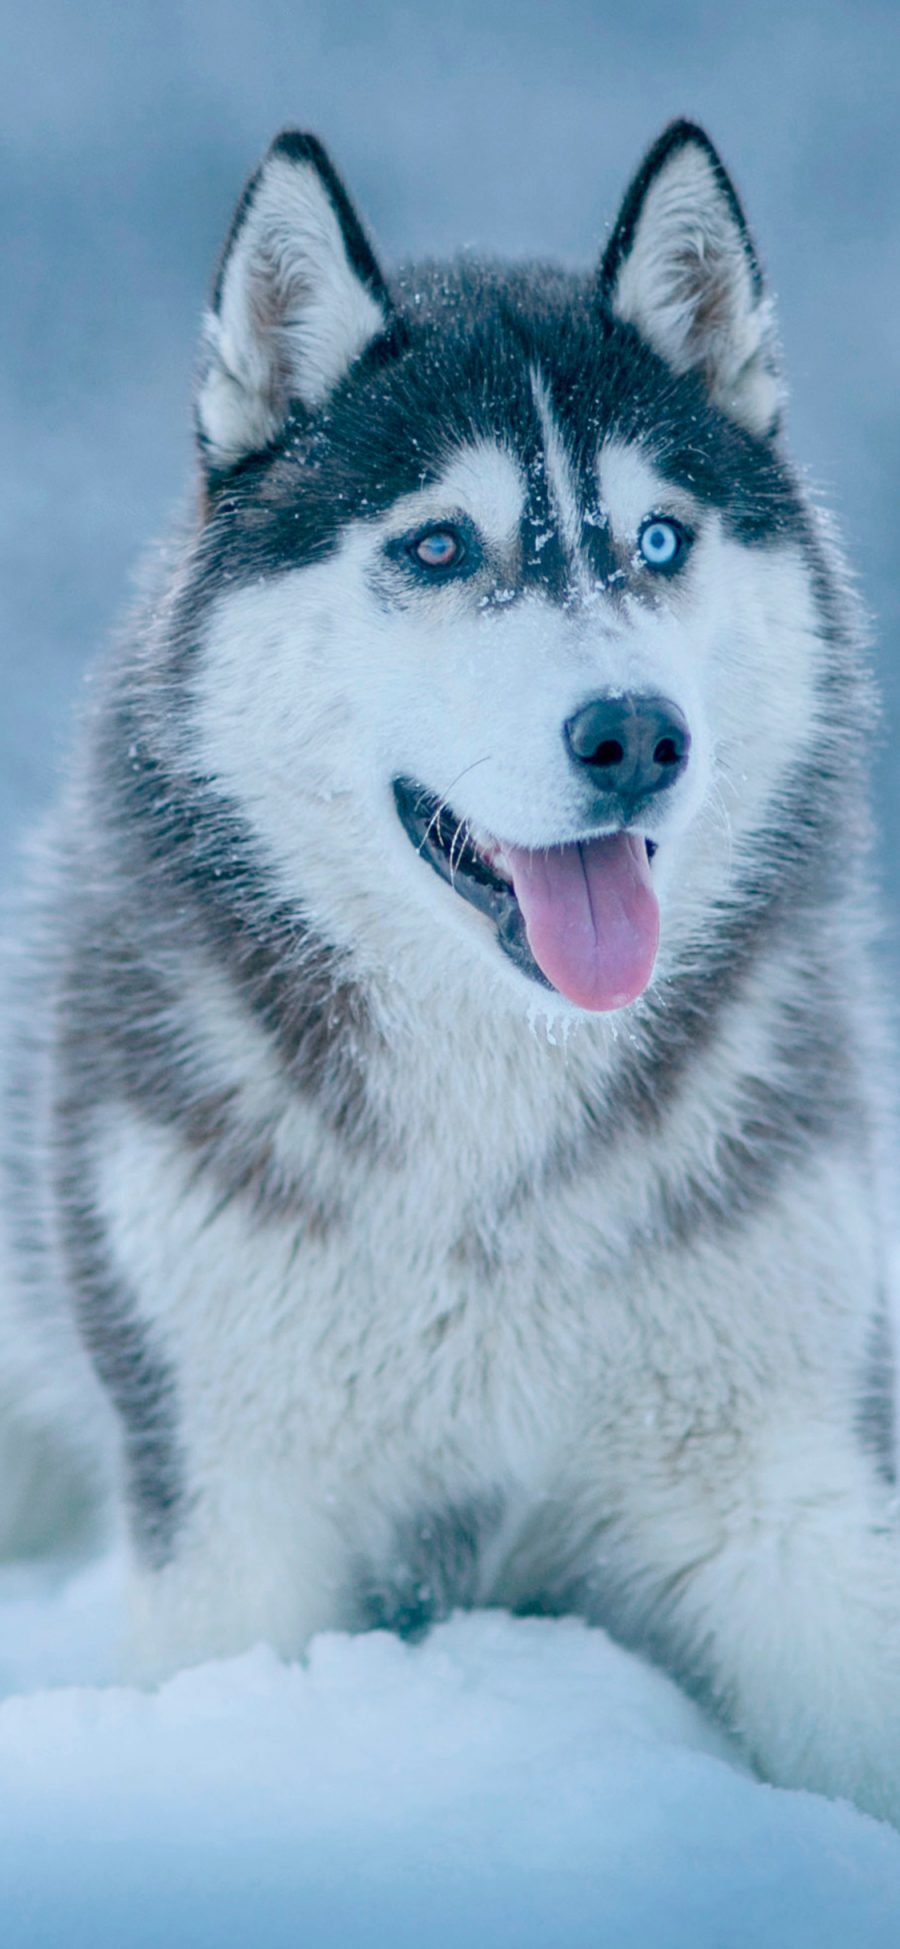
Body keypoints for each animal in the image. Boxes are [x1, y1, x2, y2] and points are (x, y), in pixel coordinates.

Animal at [1, 121, 900, 1816]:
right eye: (436, 545)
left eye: (660, 539)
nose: (636, 735)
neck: (488, 1171)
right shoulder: (241, 1514)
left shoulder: (785, 1479)